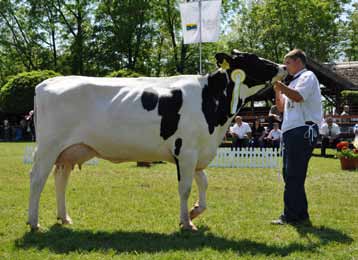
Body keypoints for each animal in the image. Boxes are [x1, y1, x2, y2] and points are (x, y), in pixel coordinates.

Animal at [27, 49, 286, 231]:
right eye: (254, 60)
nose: (283, 66)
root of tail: (47, 83)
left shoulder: (198, 151)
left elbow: (204, 183)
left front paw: (194, 211)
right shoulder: (186, 151)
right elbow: (185, 187)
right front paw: (186, 222)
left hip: (69, 151)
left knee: (60, 179)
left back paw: (64, 218)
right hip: (49, 146)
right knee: (37, 179)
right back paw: (33, 222)